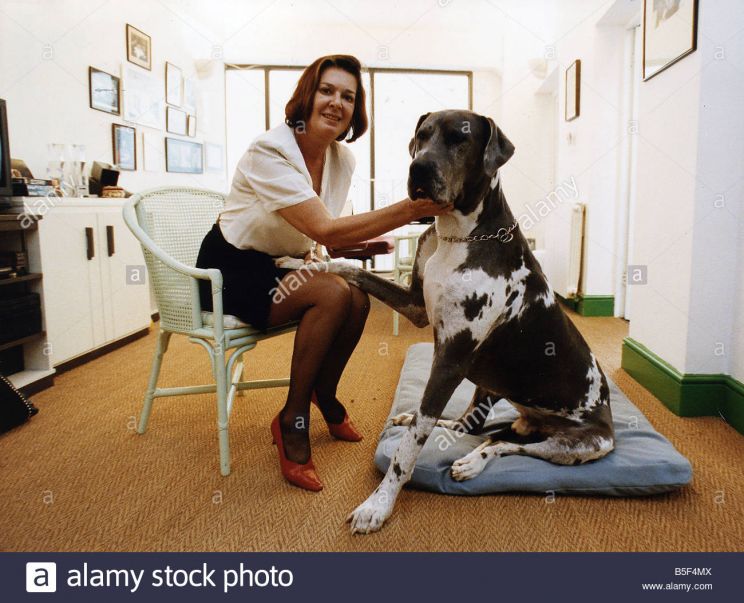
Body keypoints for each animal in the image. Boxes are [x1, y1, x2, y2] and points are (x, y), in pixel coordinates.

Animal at [282, 111, 612, 536]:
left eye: (460, 139)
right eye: (422, 136)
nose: (419, 168)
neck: (456, 234)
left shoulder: (450, 360)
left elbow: (409, 446)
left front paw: (378, 505)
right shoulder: (415, 306)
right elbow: (351, 269)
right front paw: (307, 268)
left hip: (582, 444)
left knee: (505, 445)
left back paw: (472, 460)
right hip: (491, 385)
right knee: (471, 427)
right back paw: (433, 424)